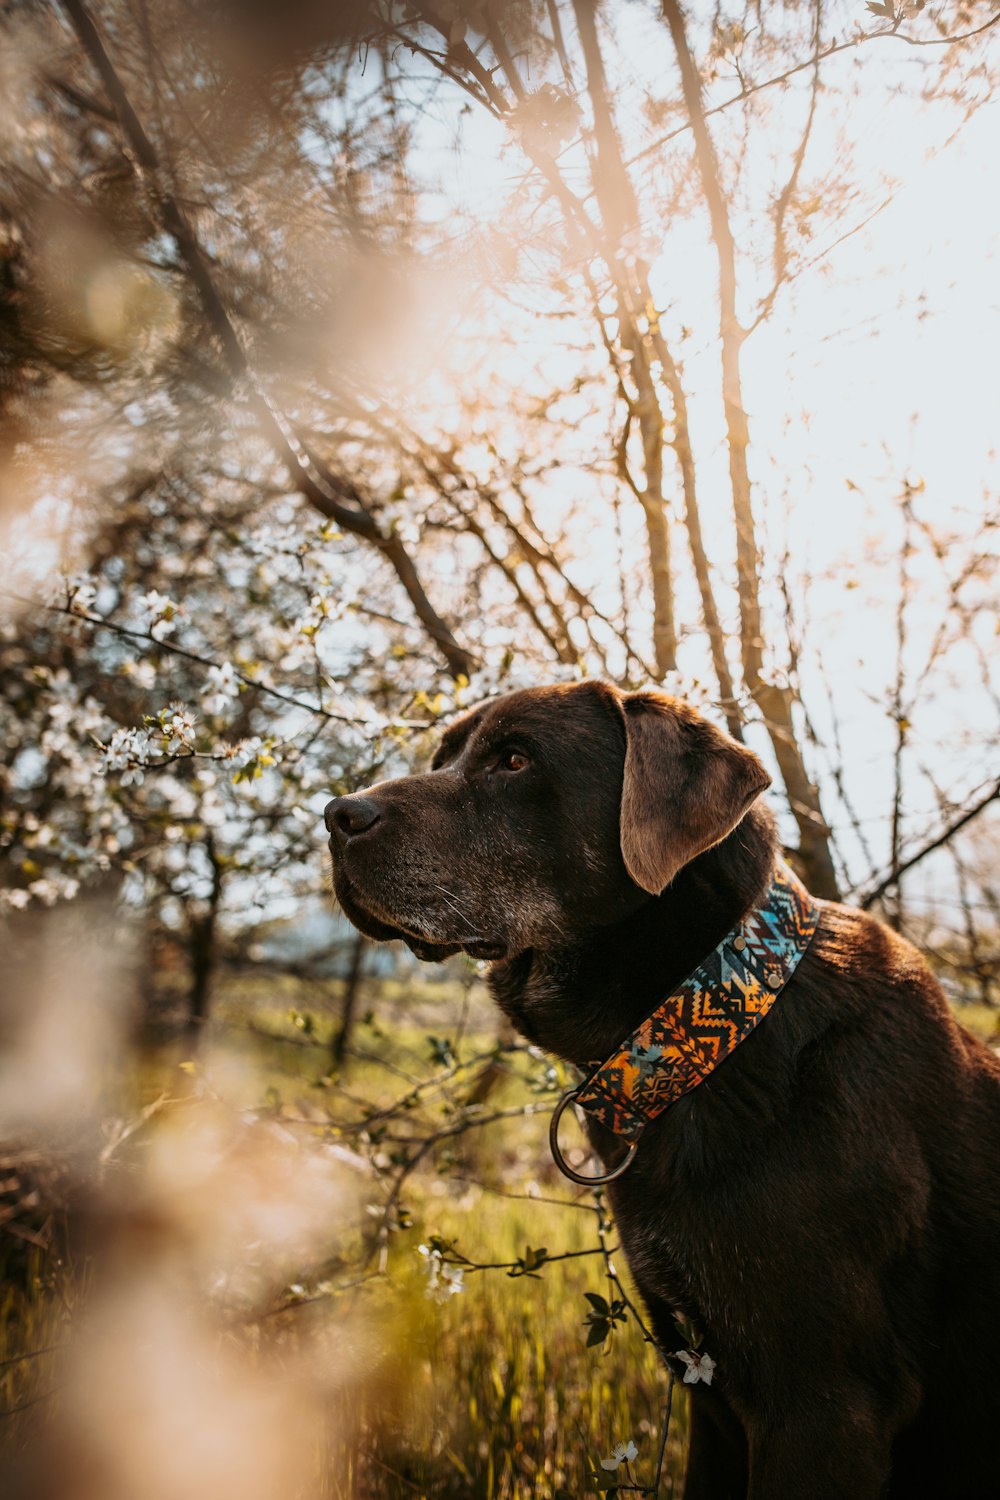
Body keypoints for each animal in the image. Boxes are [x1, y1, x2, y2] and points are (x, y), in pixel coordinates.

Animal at [326, 684, 1000, 1500]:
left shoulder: (825, 1406)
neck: (711, 1027)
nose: (336, 815)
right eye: (442, 758)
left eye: (515, 760)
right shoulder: (709, 1391)